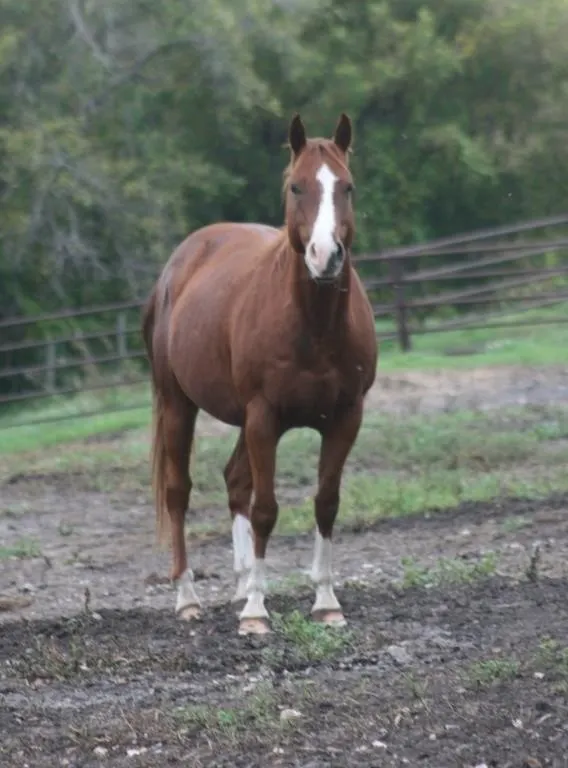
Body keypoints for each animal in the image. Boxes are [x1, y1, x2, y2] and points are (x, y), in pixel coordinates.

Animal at [142, 113, 378, 635]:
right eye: (296, 187)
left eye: (347, 187)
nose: (325, 256)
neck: (313, 325)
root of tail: (175, 267)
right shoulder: (264, 417)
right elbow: (266, 509)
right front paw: (255, 612)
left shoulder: (345, 418)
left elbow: (325, 502)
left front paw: (325, 602)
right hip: (179, 404)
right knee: (179, 492)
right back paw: (188, 597)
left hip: (242, 421)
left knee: (234, 481)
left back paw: (242, 582)